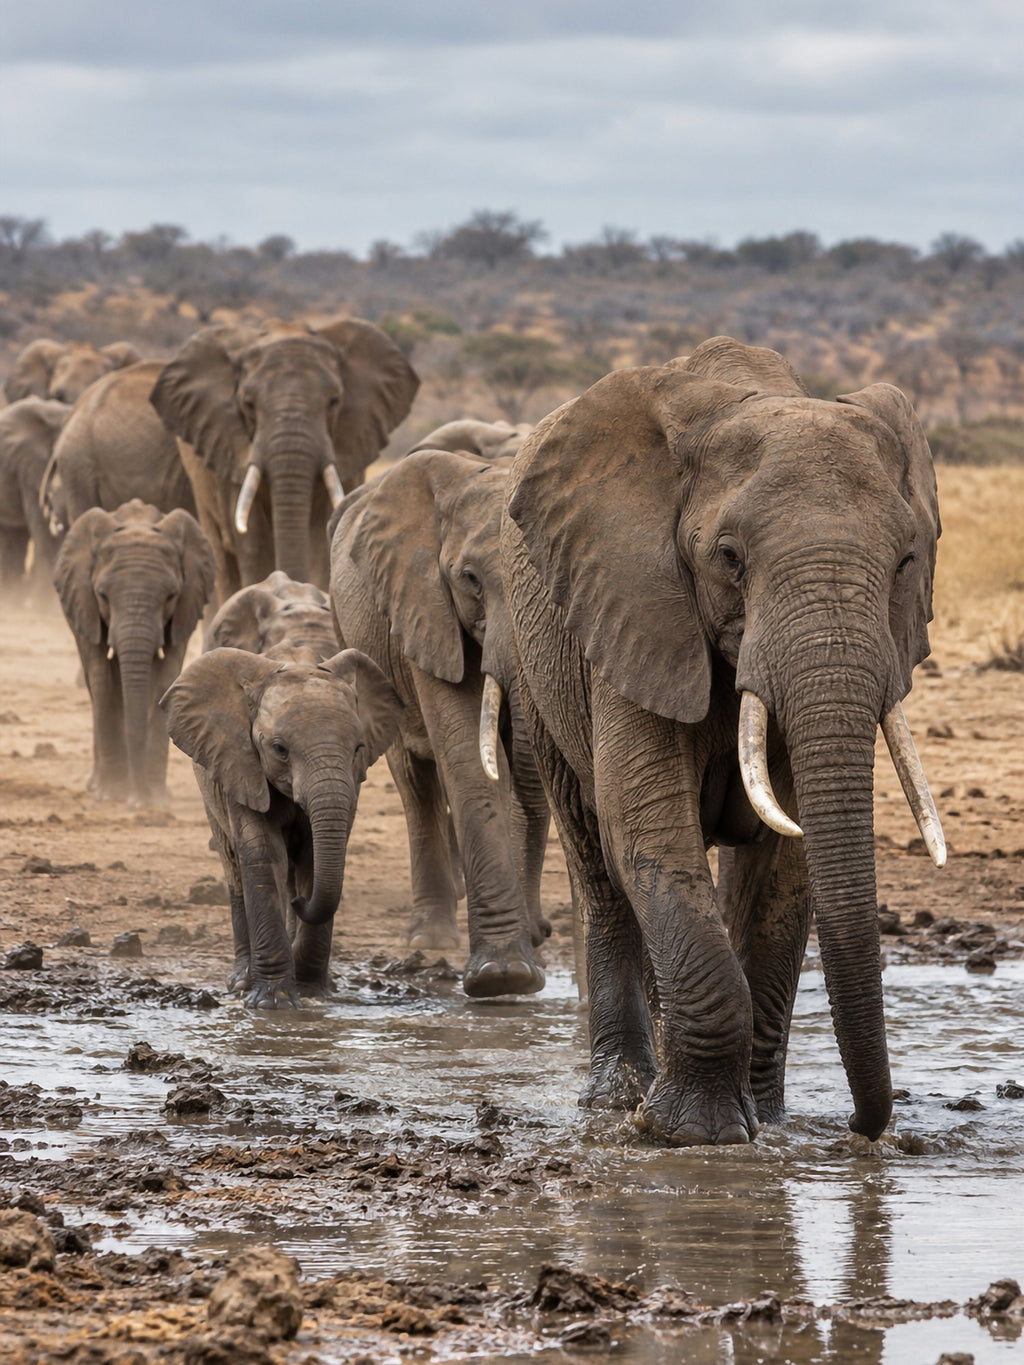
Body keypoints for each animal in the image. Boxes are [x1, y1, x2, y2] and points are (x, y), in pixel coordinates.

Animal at [54, 498, 215, 807]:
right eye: (102, 595)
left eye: (171, 596)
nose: (138, 801)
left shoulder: (183, 612)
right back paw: (96, 785)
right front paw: (112, 795)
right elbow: (103, 681)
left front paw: (157, 800)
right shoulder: (87, 607)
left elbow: (165, 679)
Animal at [161, 644, 403, 1006]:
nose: (300, 904)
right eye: (279, 749)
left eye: (358, 748)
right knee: (233, 867)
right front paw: (272, 1003)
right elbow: (263, 853)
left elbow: (315, 859)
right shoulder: (240, 763)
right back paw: (241, 981)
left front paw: (312, 992)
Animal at [330, 449, 550, 1000]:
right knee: (416, 779)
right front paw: (503, 978)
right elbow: (468, 755)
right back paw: (430, 940)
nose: (542, 931)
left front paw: (523, 962)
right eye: (470, 578)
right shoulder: (425, 607)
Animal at [501, 336, 944, 1146]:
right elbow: (649, 826)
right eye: (730, 557)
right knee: (597, 857)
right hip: (536, 657)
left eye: (906, 562)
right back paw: (617, 1097)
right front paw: (691, 1134)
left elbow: (787, 863)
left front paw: (763, 1122)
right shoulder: (634, 602)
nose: (865, 1128)